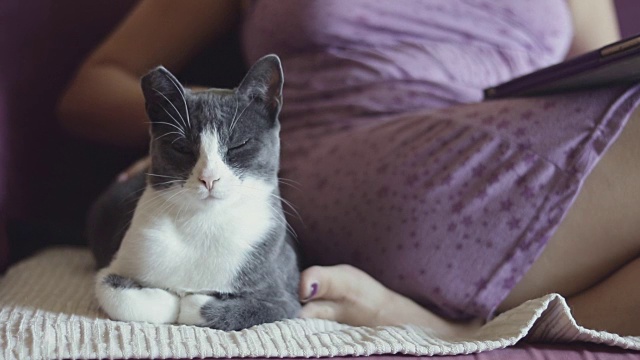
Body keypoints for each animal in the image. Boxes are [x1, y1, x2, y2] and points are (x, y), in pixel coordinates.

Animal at [86, 54, 302, 330]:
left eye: (238, 145)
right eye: (181, 148)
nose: (209, 178)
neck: (204, 223)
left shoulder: (284, 297)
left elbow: (206, 308)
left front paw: (192, 299)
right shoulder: (113, 268)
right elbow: (122, 297)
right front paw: (166, 296)